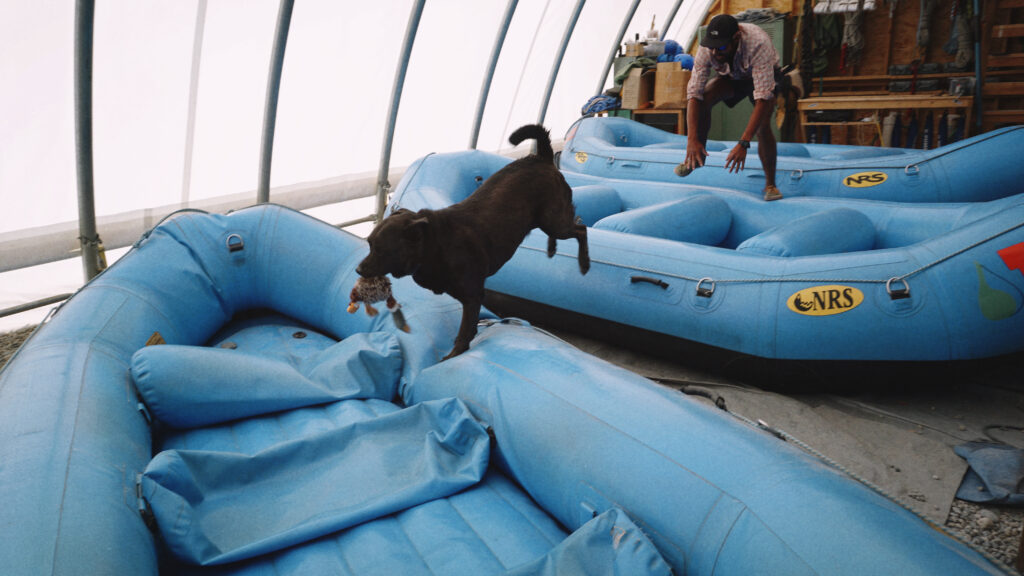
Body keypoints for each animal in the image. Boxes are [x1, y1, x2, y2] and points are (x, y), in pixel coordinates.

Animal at [356, 124, 589, 358]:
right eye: (369, 243)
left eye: (382, 250)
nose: (358, 269)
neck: (434, 247)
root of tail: (541, 158)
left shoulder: (473, 296)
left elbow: (465, 330)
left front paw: (454, 354)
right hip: (545, 219)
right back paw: (551, 248)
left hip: (554, 220)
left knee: (580, 228)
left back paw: (584, 263)